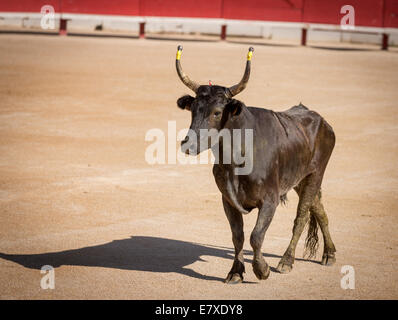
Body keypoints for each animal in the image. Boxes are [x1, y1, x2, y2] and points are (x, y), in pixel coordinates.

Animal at [176, 45, 334, 282]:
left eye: (217, 112)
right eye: (193, 110)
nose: (189, 144)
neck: (235, 160)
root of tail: (321, 120)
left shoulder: (270, 200)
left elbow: (256, 236)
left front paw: (262, 269)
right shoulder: (228, 201)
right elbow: (238, 236)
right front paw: (235, 272)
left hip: (316, 174)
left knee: (302, 216)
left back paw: (286, 261)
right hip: (300, 179)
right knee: (319, 210)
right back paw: (329, 254)